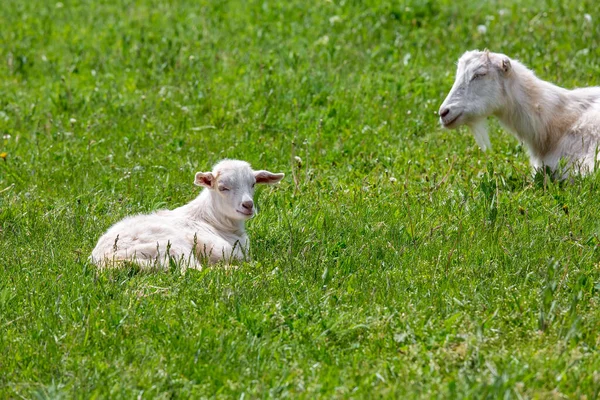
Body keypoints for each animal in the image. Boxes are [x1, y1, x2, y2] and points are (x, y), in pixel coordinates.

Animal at [90, 159, 284, 268]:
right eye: (223, 187)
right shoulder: (220, 249)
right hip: (172, 247)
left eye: (253, 184)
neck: (213, 220)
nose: (248, 205)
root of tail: (106, 260)